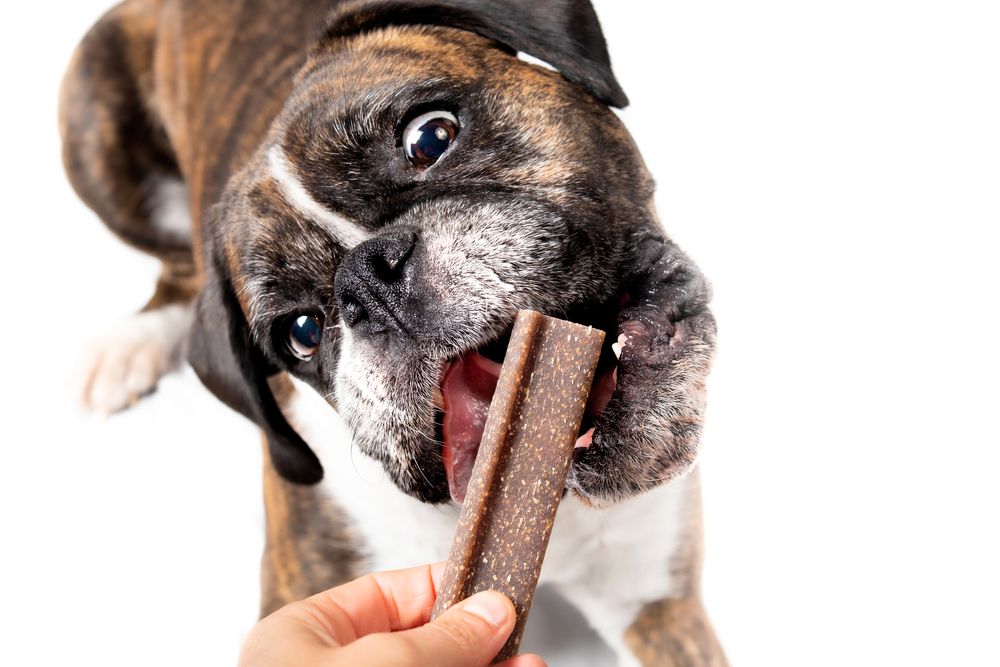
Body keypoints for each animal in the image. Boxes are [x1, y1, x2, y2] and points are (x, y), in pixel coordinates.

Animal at [66, 1, 732, 664]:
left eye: (430, 137)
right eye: (301, 333)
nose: (366, 277)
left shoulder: (659, 605)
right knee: (176, 264)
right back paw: (131, 345)